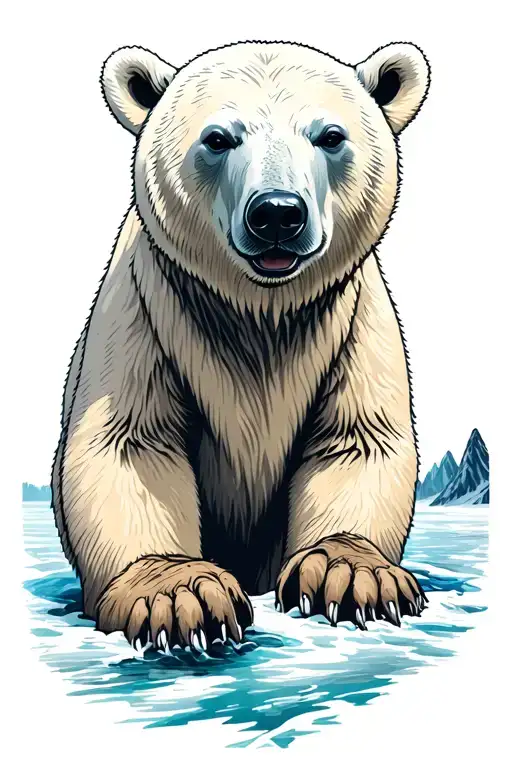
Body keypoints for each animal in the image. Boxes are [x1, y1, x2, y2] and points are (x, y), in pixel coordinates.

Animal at [52, 40, 430, 653]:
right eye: (218, 138)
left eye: (330, 135)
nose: (277, 213)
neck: (260, 311)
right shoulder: (148, 307)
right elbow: (130, 442)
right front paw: (177, 594)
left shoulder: (351, 319)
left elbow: (358, 440)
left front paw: (351, 574)